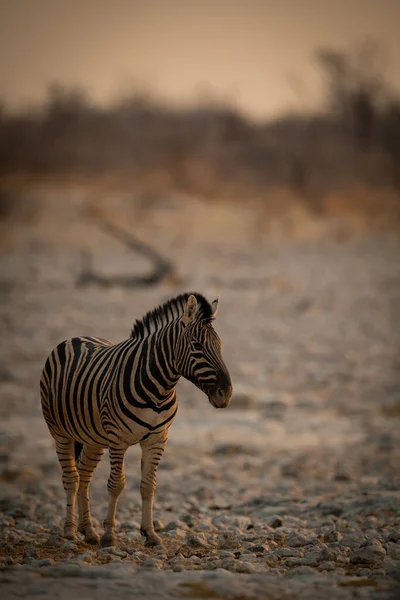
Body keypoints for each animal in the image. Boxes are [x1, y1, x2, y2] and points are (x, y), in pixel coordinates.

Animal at [39, 292, 231, 548]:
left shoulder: (157, 439)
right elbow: (116, 484)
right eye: (197, 346)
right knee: (71, 477)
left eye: (220, 346)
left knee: (85, 475)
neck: (159, 389)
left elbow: (149, 485)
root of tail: (74, 337)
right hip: (59, 431)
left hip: (93, 438)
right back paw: (70, 532)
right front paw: (110, 535)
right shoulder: (117, 439)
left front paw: (150, 533)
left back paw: (88, 531)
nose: (226, 394)